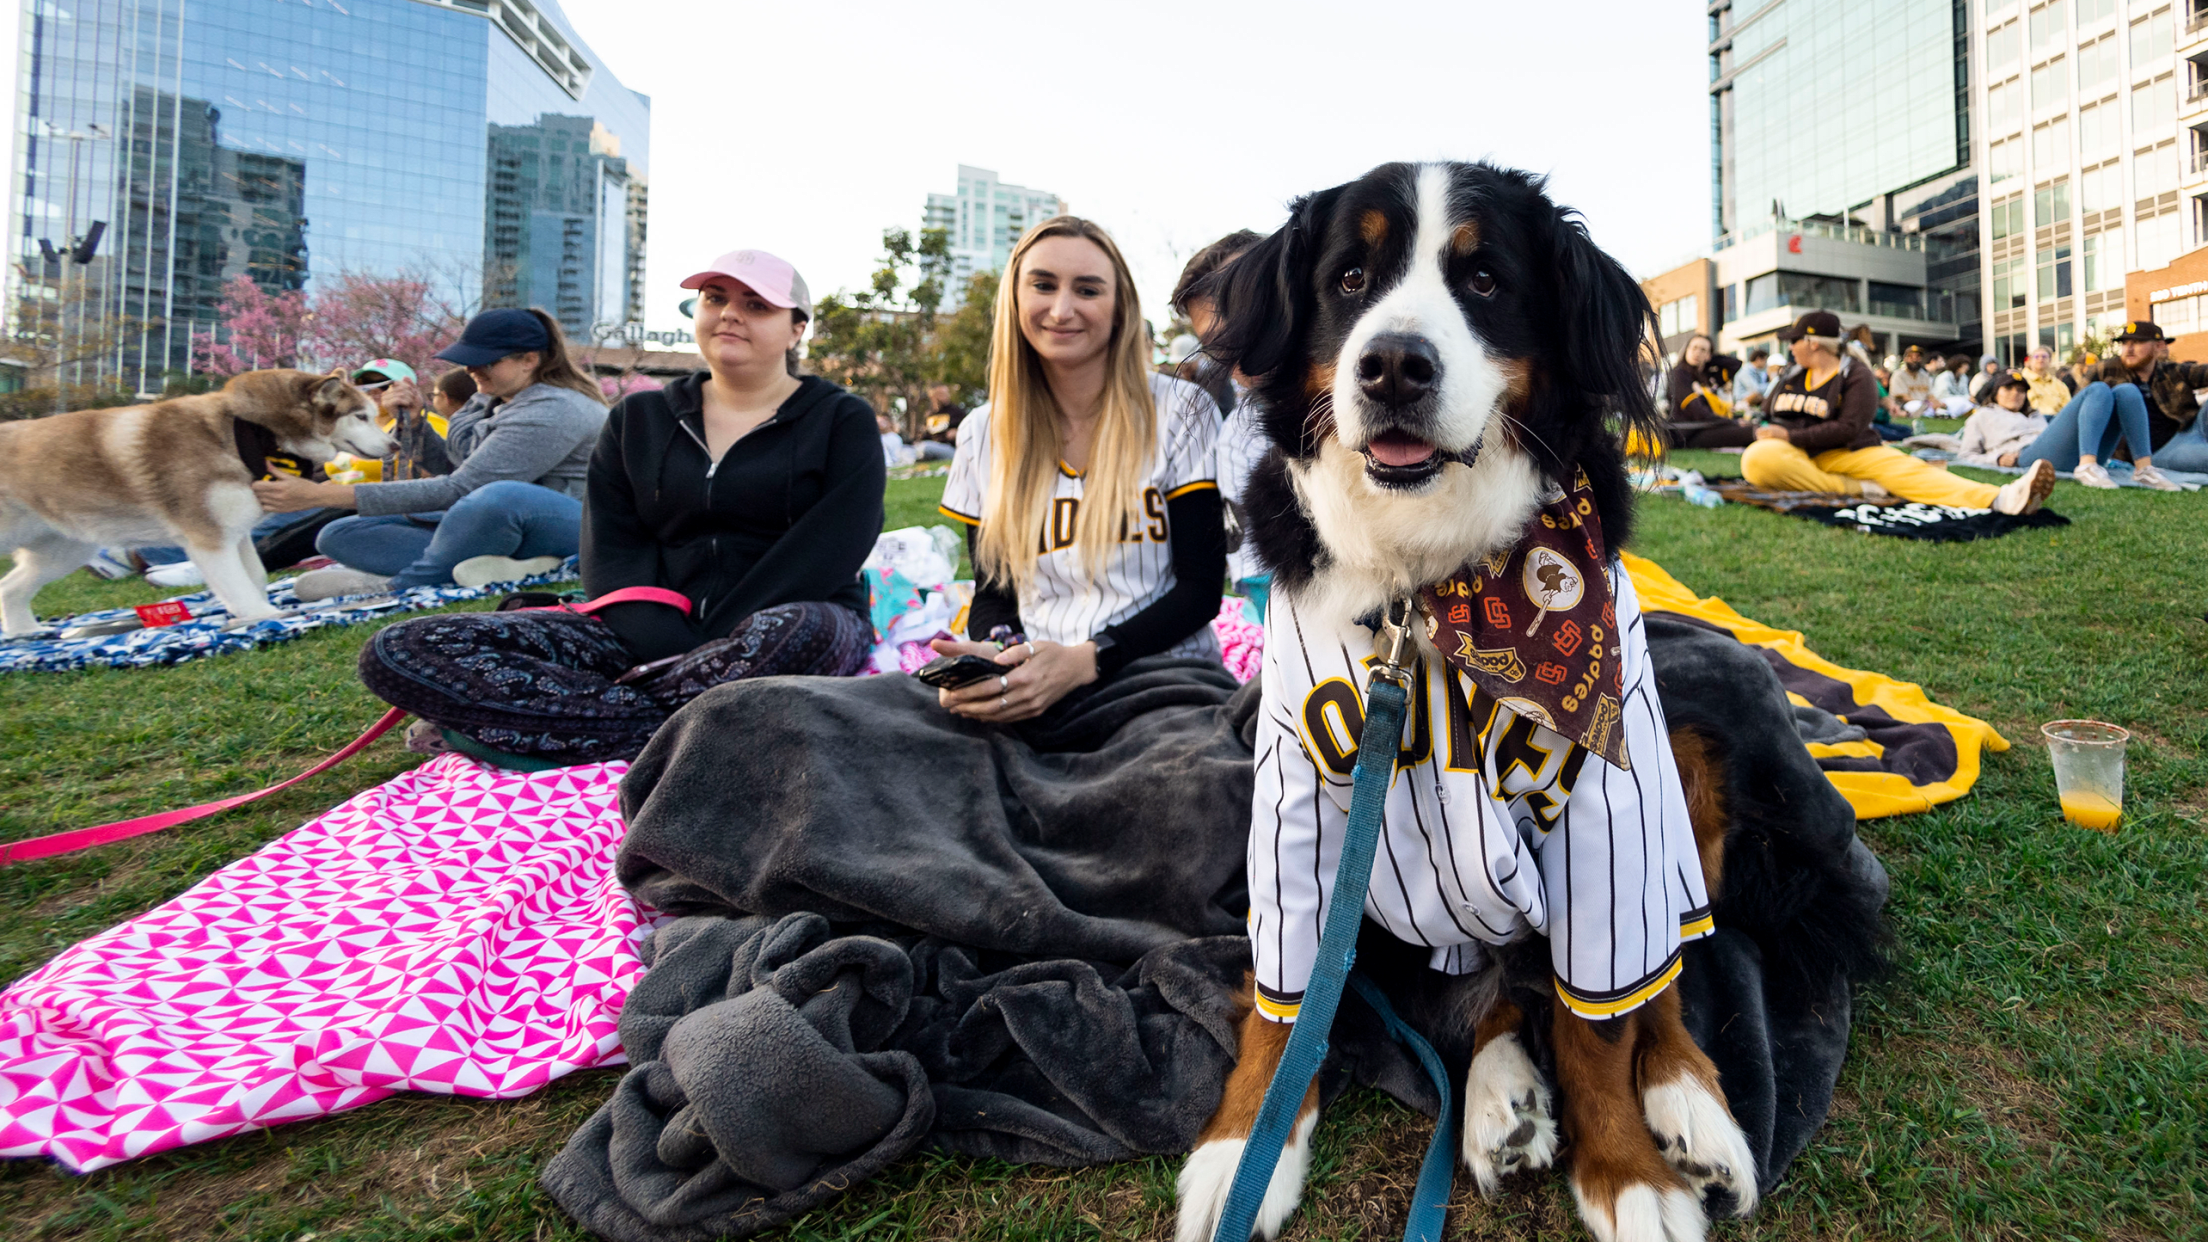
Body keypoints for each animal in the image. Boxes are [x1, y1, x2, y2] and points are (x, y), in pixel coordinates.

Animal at [1174, 162, 1757, 1237]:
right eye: (1349, 276)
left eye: (1485, 279)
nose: (1392, 367)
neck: (1427, 583)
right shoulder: (1292, 801)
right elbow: (1285, 1005)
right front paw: (1244, 1153)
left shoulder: (1607, 806)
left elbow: (1598, 1023)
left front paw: (1628, 1176)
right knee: (1490, 997)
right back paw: (1500, 1105)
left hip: (1679, 769)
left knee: (1647, 984)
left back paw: (1688, 1107)